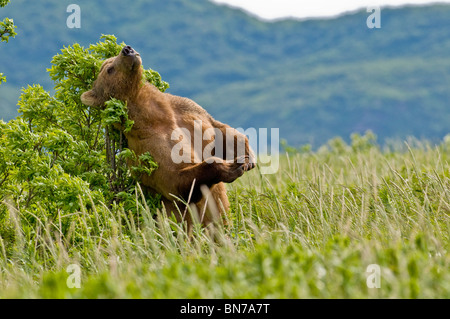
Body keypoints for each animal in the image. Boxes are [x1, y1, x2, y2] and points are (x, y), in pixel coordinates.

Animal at [81, 45, 255, 230]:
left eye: (111, 60)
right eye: (109, 69)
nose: (127, 50)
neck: (156, 115)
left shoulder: (188, 111)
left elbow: (220, 130)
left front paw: (246, 157)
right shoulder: (150, 149)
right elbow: (176, 182)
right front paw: (232, 167)